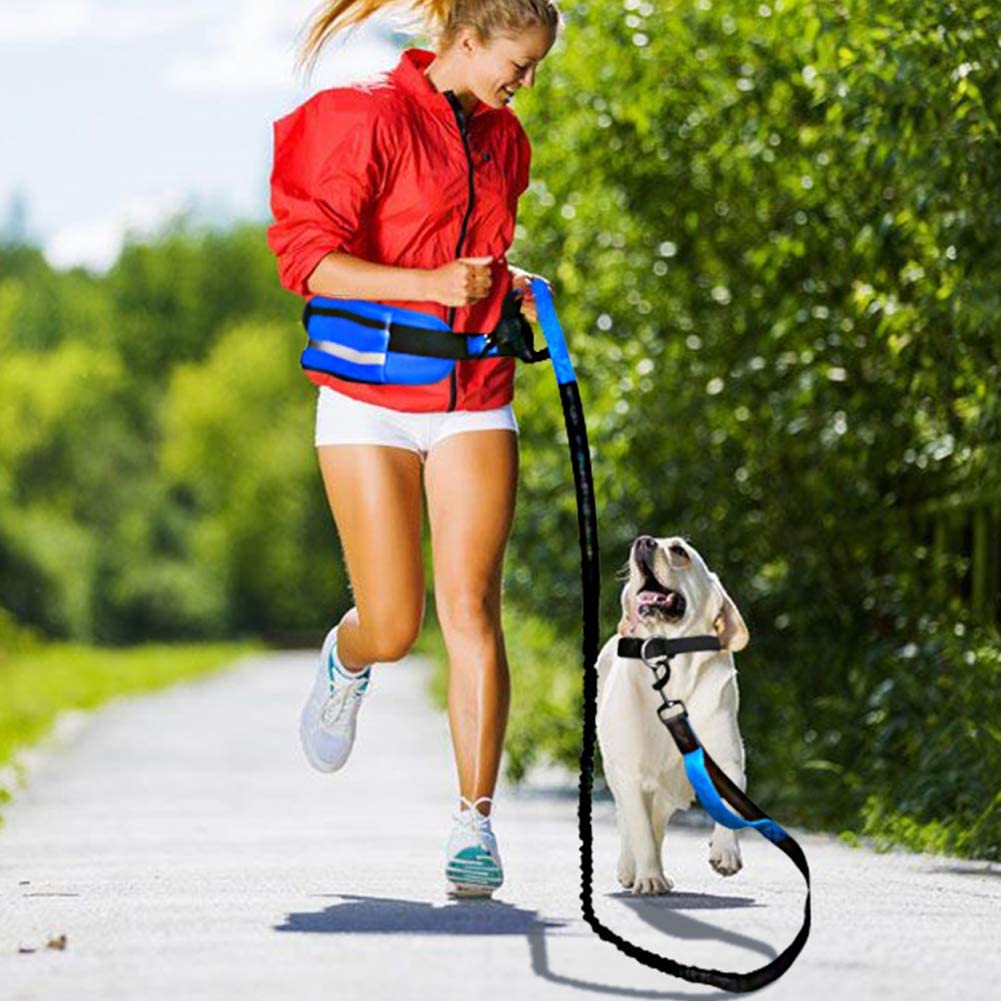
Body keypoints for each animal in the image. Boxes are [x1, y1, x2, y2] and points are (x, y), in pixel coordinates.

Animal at [592, 536, 752, 896]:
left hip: (668, 789)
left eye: (679, 550)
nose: (643, 541)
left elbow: (732, 803)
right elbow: (639, 831)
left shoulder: (726, 758)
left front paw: (725, 852)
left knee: (657, 823)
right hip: (618, 772)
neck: (669, 661)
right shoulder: (630, 773)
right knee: (631, 823)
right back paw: (633, 869)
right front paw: (648, 877)